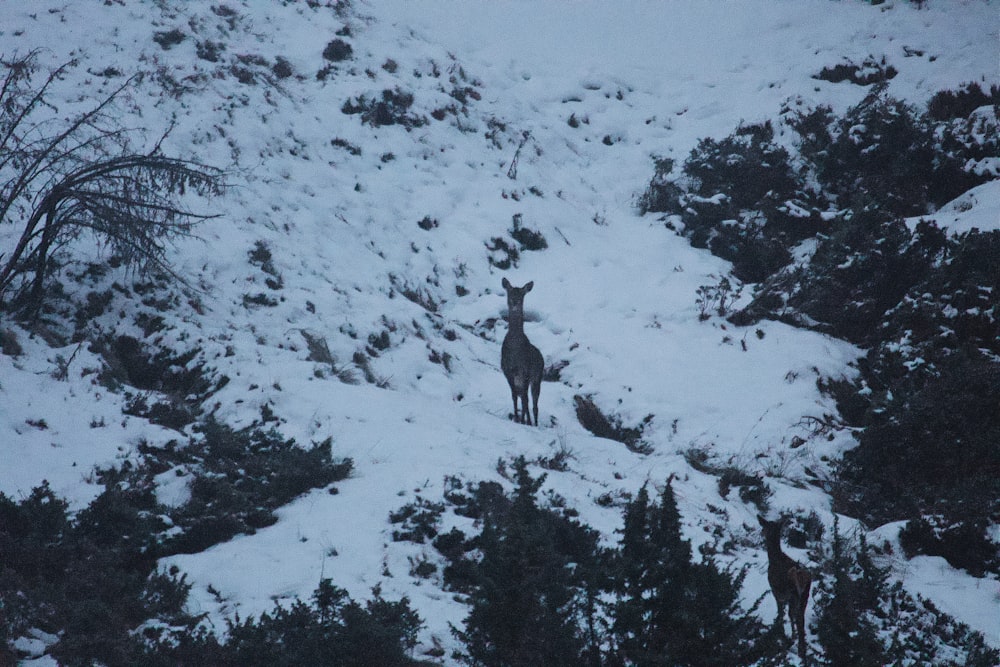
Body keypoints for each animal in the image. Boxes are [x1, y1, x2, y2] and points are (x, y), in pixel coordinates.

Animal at [504, 278, 544, 428]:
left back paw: (534, 423)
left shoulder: (526, 370)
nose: (515, 301)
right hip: (520, 380)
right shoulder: (507, 371)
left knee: (534, 403)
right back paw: (527, 420)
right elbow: (514, 396)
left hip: (537, 377)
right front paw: (517, 418)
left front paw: (522, 420)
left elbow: (525, 400)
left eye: (522, 295)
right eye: (509, 292)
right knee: (523, 397)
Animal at [756, 516, 812, 664]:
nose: (761, 533)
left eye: (764, 527)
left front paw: (780, 631)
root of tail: (800, 575)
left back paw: (797, 646)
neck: (774, 558)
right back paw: (802, 652)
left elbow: (781, 613)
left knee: (796, 618)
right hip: (804, 596)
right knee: (801, 620)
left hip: (793, 594)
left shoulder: (776, 591)